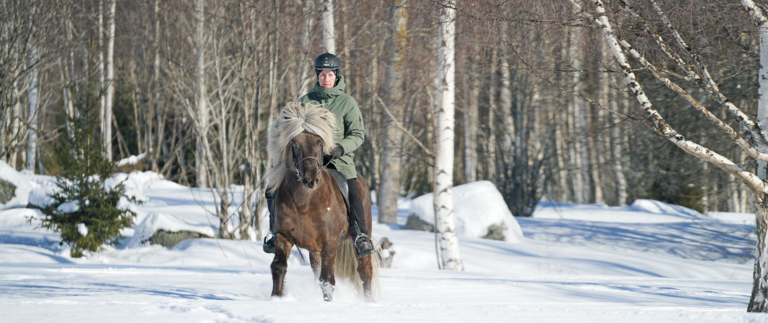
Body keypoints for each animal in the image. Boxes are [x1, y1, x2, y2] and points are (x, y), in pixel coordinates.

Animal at [266, 102, 380, 304]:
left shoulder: (330, 243)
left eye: (320, 143)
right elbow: (279, 267)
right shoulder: (283, 236)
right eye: (294, 144)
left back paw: (369, 302)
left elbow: (327, 280)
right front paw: (276, 299)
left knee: (365, 271)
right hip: (314, 250)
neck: (304, 203)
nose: (309, 179)